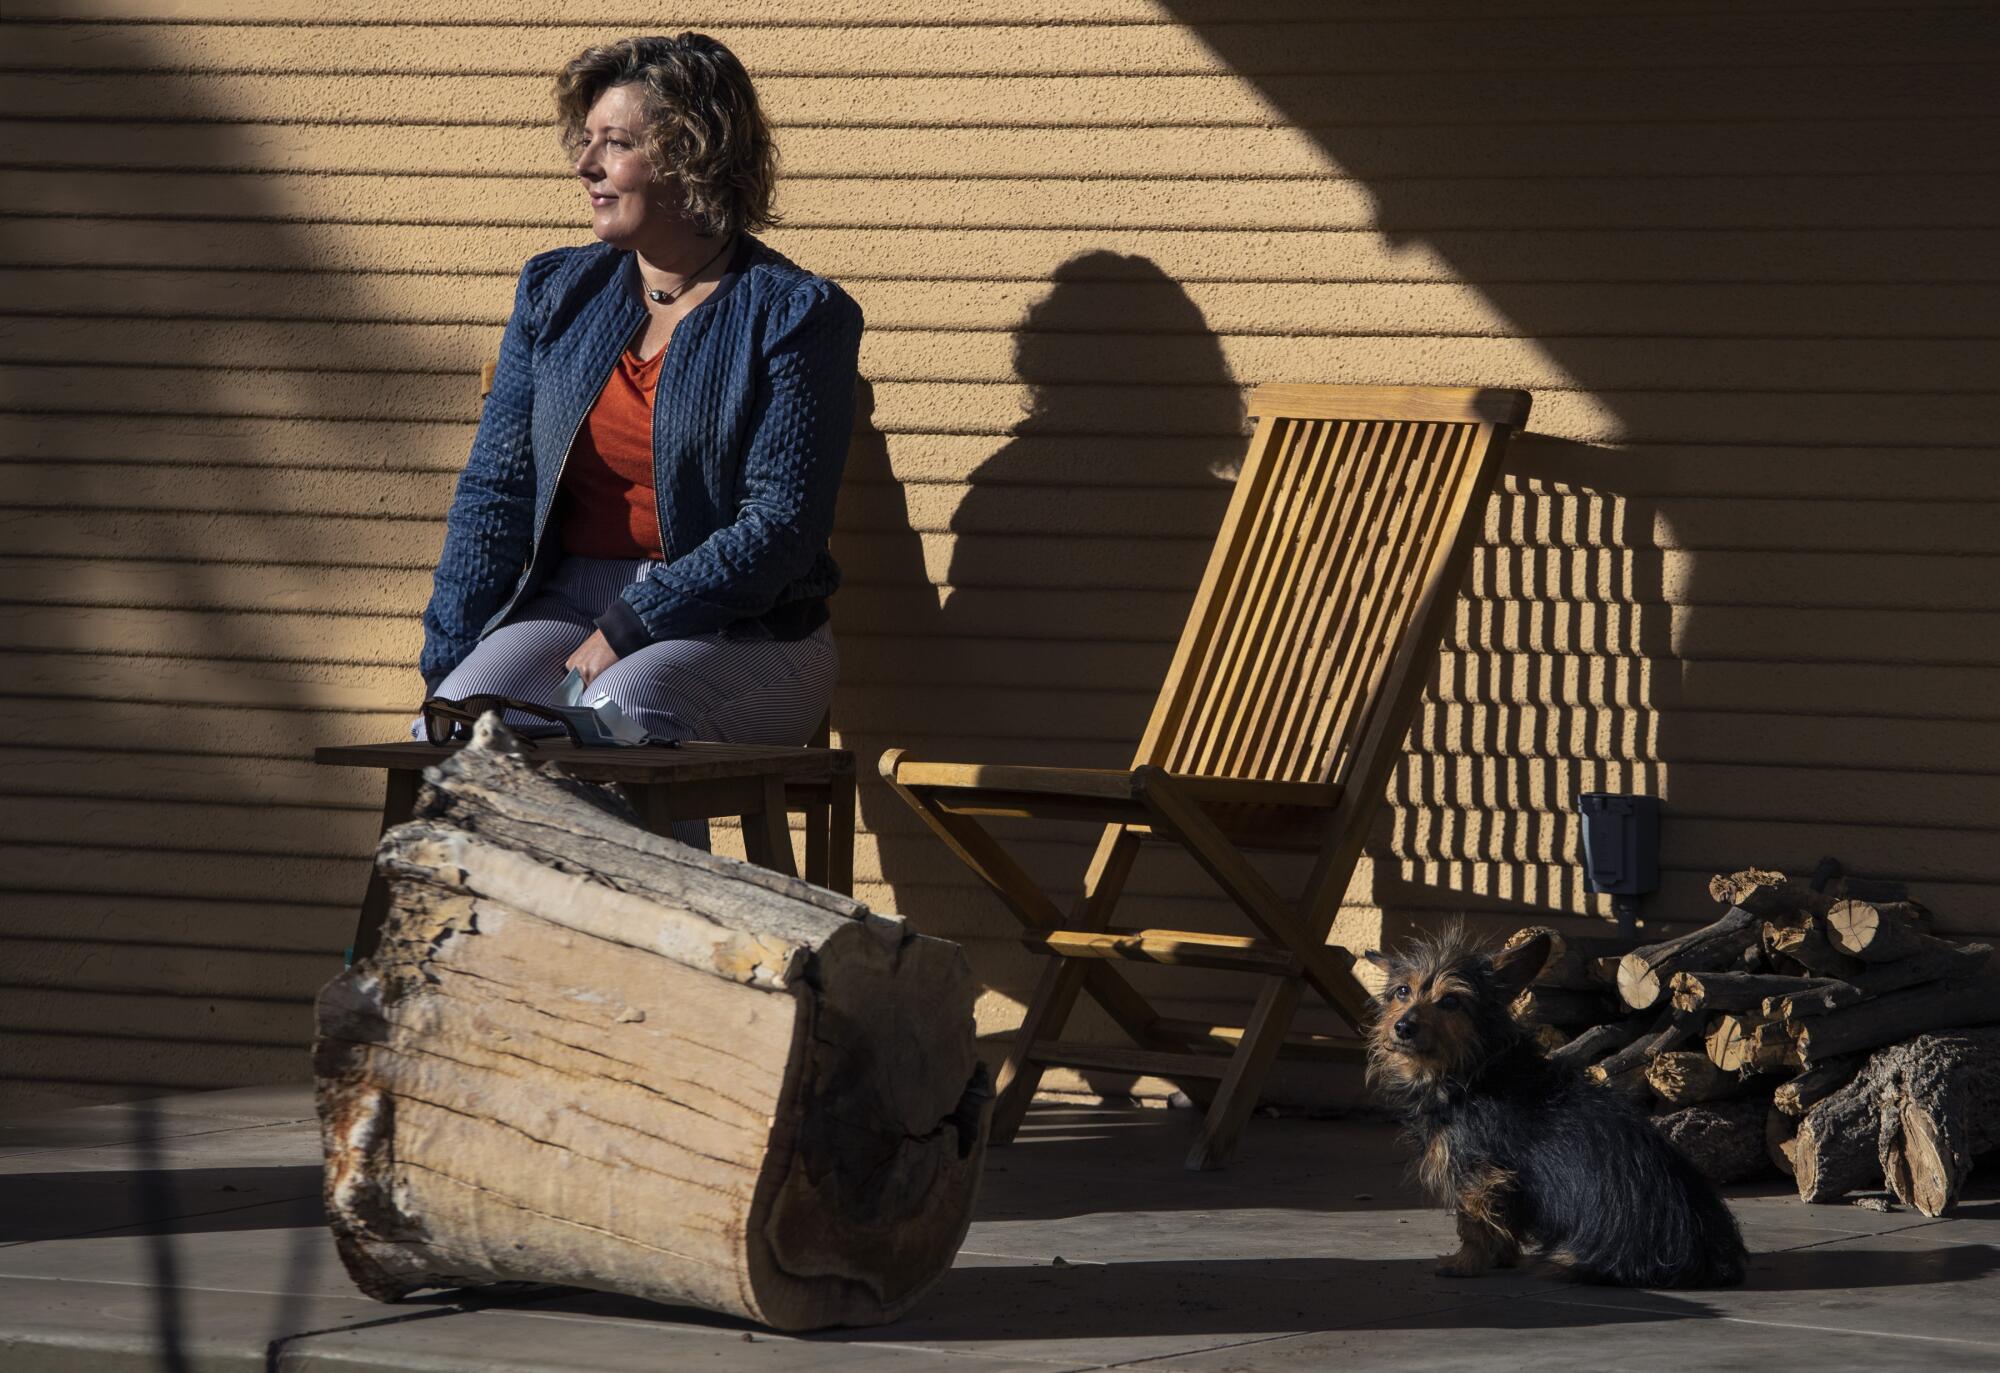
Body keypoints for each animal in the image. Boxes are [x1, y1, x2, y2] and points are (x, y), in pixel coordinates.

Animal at [1368, 924, 1744, 1288]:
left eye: (1450, 1001)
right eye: (1402, 992)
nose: (1402, 1027)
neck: (1472, 1071)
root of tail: (1706, 1262)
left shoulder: (1478, 1172)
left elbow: (1472, 1223)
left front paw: (1464, 1264)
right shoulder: (1504, 1182)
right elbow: (1504, 1222)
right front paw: (1501, 1258)